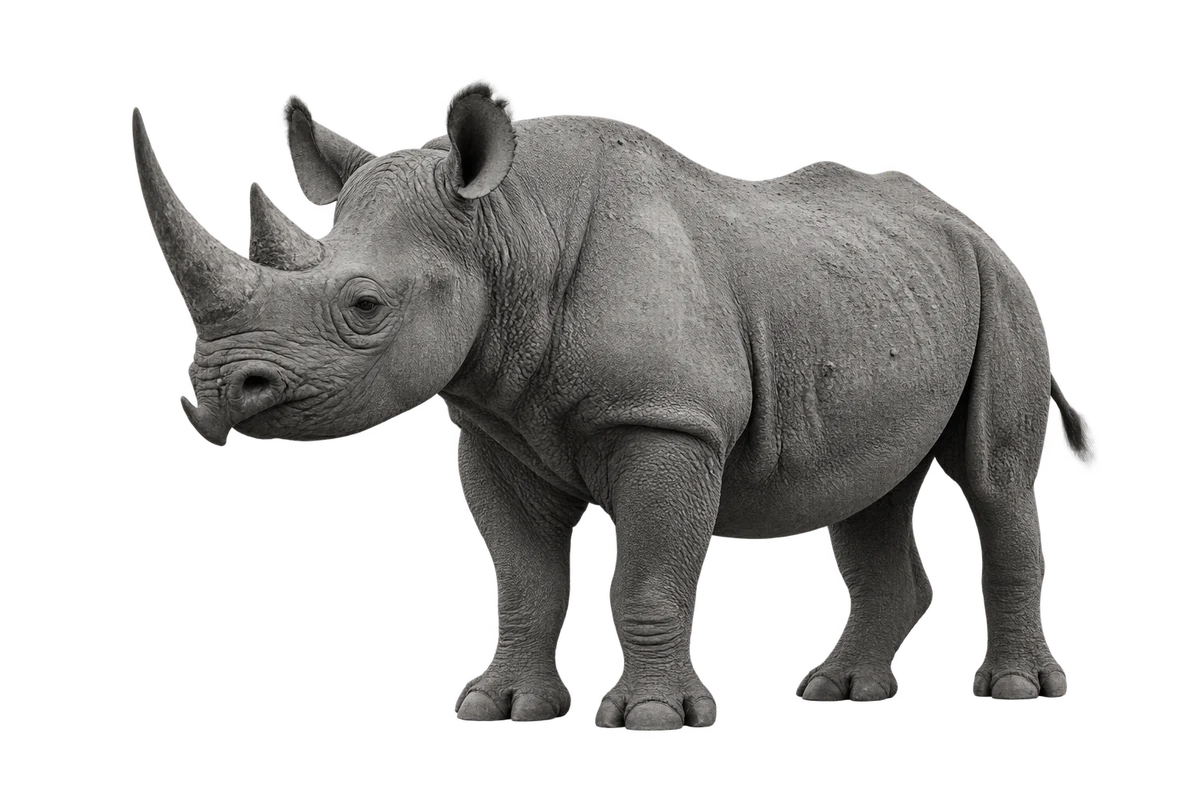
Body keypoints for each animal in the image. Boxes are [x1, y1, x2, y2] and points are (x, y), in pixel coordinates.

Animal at [132, 78, 1097, 730]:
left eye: (365, 307)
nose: (214, 396)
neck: (508, 230)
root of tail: (967, 221)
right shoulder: (493, 433)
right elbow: (525, 579)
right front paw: (502, 706)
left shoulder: (665, 421)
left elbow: (648, 575)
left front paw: (654, 718)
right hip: (883, 292)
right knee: (868, 493)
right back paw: (837, 691)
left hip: (1005, 288)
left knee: (996, 482)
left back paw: (1014, 690)